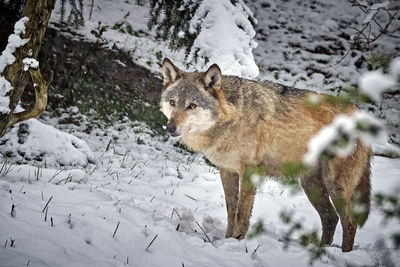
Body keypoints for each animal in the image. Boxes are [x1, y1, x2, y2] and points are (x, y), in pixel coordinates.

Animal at [159, 57, 372, 252]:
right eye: (173, 102)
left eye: (192, 105)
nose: (170, 128)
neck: (233, 116)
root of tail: (362, 115)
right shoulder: (227, 170)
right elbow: (231, 211)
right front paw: (225, 241)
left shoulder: (249, 172)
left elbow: (241, 214)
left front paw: (235, 243)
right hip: (312, 186)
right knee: (330, 218)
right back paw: (319, 252)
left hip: (334, 186)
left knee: (349, 222)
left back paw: (343, 254)